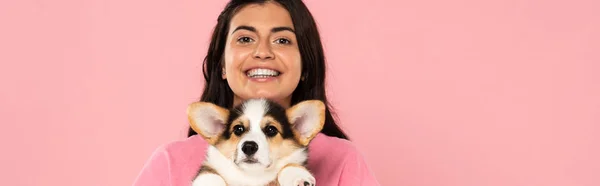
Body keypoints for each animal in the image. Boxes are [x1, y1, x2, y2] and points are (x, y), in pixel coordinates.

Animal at [188, 98, 328, 185]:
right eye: (238, 129)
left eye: (271, 129)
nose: (249, 147)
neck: (253, 176)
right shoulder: (210, 168)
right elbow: (208, 174)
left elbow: (288, 165)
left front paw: (297, 176)